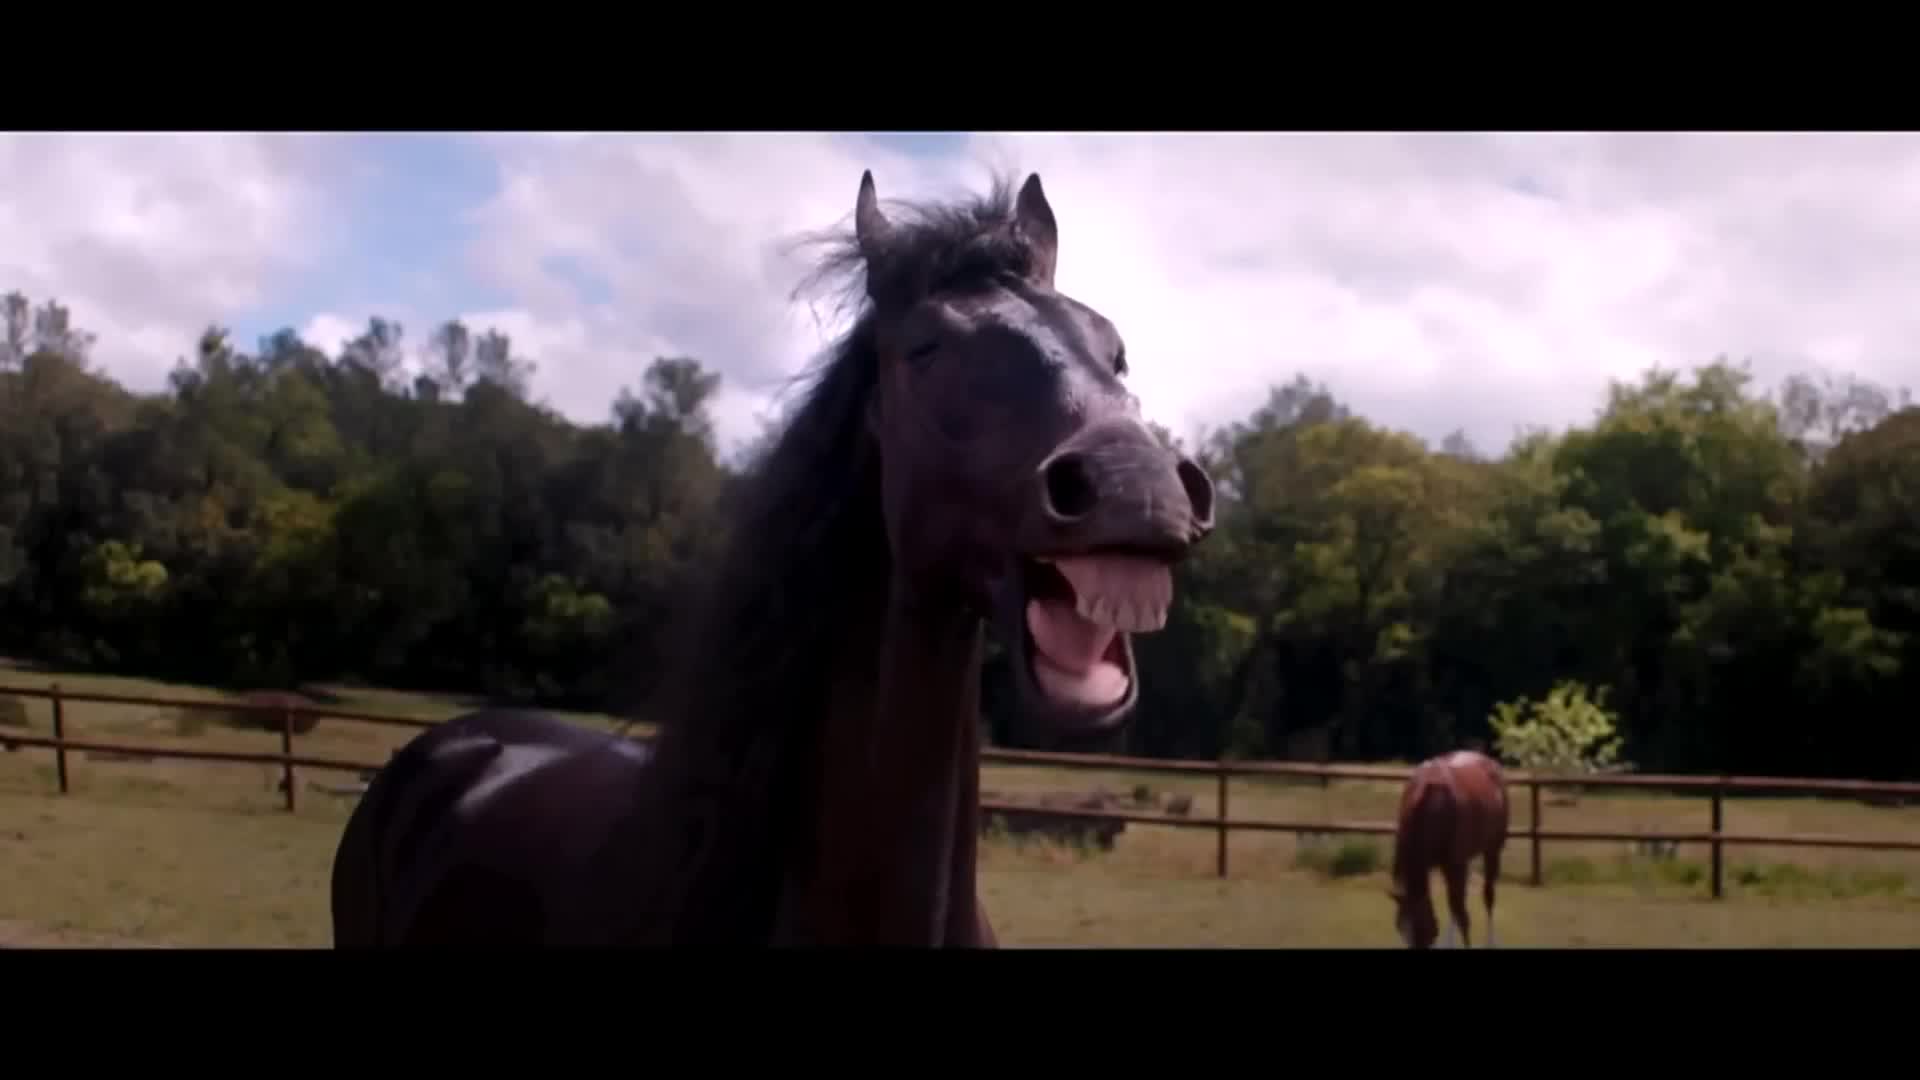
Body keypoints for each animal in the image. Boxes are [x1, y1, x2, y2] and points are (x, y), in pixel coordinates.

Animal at [1387, 749, 1509, 949]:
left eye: (1425, 931)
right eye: (1400, 930)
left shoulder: (1455, 863)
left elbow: (1462, 914)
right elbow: (1455, 908)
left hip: (1492, 850)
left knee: (1488, 896)